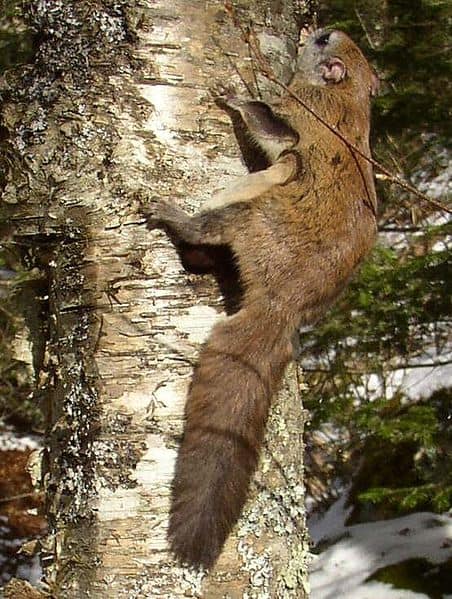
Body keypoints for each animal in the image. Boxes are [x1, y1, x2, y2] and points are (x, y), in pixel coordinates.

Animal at [140, 29, 378, 572]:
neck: (346, 96)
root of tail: (282, 307)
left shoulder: (298, 122)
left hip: (251, 215)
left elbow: (268, 124)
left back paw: (172, 216)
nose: (316, 28)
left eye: (323, 40)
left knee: (206, 232)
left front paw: (231, 91)